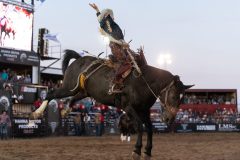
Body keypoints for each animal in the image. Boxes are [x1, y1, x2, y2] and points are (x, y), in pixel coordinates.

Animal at [32, 49, 193, 159]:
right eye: (173, 95)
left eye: (182, 98)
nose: (169, 118)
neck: (143, 82)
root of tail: (78, 60)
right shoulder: (130, 108)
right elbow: (140, 126)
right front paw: (137, 150)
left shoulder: (144, 110)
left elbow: (149, 128)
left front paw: (147, 151)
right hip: (68, 87)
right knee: (52, 93)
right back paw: (37, 113)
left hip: (82, 91)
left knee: (73, 98)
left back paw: (65, 110)